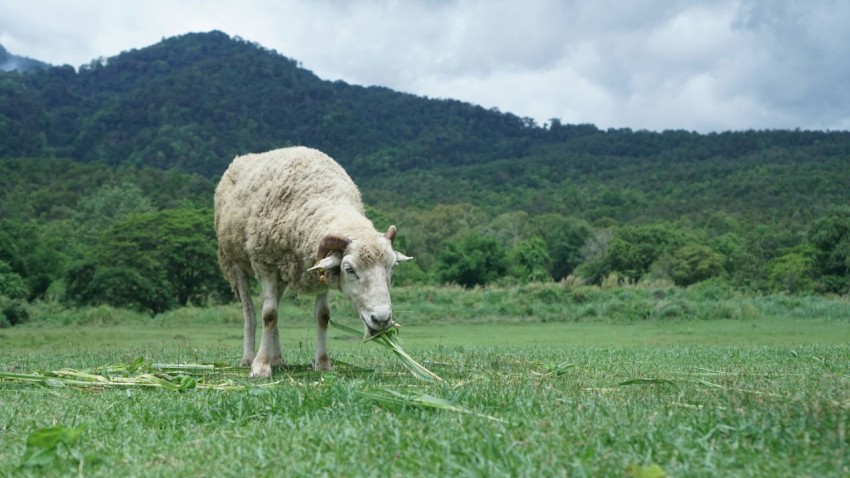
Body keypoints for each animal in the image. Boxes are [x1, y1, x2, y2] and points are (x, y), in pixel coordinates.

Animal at [214, 146, 411, 378]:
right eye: (349, 269)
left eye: (392, 267)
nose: (381, 319)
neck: (321, 194)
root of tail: (242, 158)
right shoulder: (266, 264)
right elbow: (269, 315)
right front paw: (260, 367)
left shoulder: (319, 275)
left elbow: (322, 316)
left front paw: (323, 363)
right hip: (234, 262)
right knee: (250, 311)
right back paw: (248, 358)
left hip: (283, 273)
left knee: (274, 305)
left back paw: (277, 358)